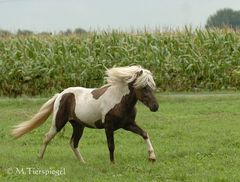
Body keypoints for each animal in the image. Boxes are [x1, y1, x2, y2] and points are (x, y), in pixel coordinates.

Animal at [12, 66, 160, 164]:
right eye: (144, 87)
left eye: (152, 86)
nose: (155, 107)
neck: (119, 100)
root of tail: (60, 94)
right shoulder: (109, 126)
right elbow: (111, 145)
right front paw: (113, 163)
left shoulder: (128, 124)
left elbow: (144, 133)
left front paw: (152, 157)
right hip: (58, 123)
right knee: (47, 137)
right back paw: (39, 158)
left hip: (78, 125)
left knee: (73, 143)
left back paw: (83, 162)